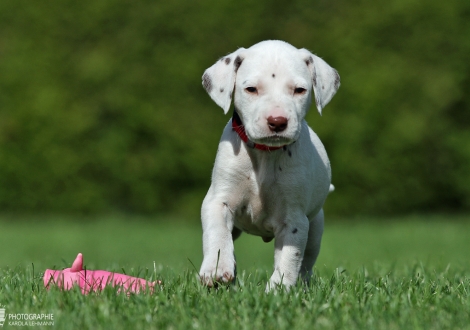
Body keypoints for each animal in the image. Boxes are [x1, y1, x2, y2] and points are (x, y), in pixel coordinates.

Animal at [197, 41, 338, 292]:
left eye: (299, 90)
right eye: (251, 89)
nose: (277, 121)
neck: (265, 154)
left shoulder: (294, 220)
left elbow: (289, 257)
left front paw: (277, 289)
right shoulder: (218, 200)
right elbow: (217, 235)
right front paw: (216, 269)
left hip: (315, 228)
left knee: (306, 262)